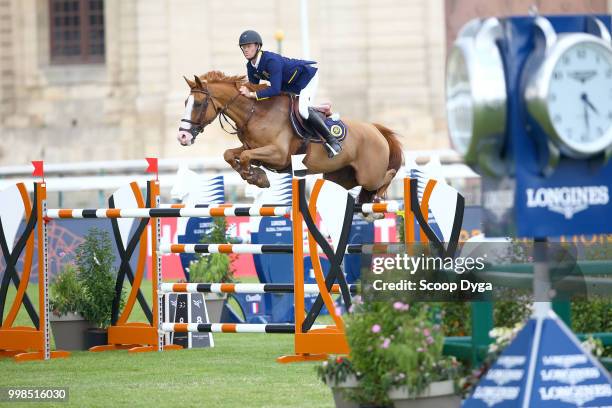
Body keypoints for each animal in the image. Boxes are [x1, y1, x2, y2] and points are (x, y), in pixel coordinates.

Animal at [177, 71, 402, 204]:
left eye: (198, 104)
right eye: (185, 102)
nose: (183, 137)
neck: (255, 113)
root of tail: (375, 129)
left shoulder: (279, 154)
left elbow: (247, 157)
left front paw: (256, 177)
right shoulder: (251, 147)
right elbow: (230, 154)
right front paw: (254, 175)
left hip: (368, 175)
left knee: (385, 177)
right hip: (340, 177)